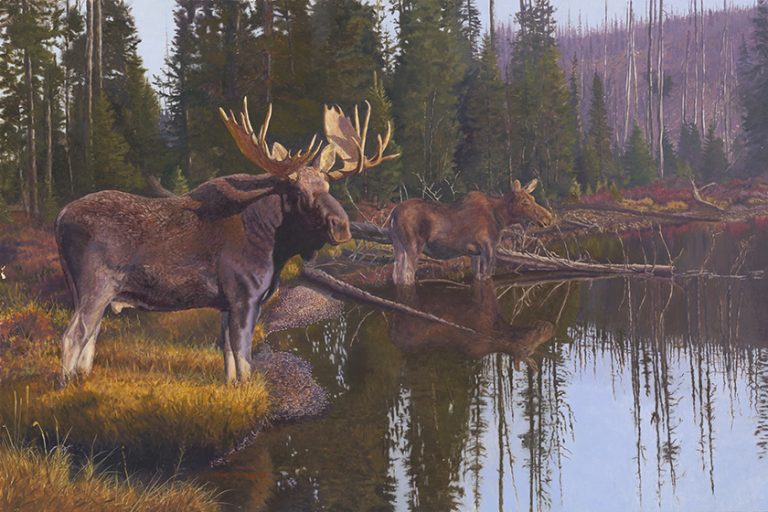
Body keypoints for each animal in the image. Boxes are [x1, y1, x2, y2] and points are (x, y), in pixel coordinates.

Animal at [54, 99, 398, 385]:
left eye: (328, 187)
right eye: (300, 193)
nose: (342, 226)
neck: (274, 246)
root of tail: (59, 218)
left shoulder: (225, 301)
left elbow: (228, 352)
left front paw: (232, 385)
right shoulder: (245, 295)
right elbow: (243, 353)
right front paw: (246, 387)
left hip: (89, 292)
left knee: (90, 337)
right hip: (96, 286)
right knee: (73, 336)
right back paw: (66, 387)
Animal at [388, 179, 554, 285]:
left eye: (533, 198)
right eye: (525, 202)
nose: (548, 217)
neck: (500, 218)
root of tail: (393, 213)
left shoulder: (475, 253)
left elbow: (477, 276)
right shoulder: (488, 247)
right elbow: (487, 276)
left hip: (397, 246)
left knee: (396, 275)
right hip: (413, 247)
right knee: (407, 276)